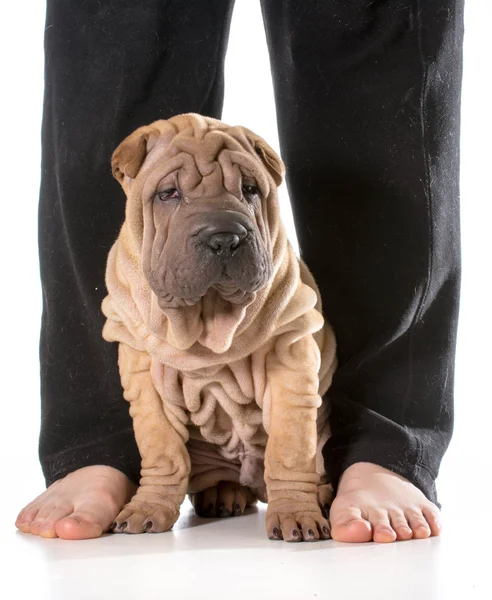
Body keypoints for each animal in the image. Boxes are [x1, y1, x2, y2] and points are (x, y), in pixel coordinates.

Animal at [101, 112, 338, 544]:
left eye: (249, 190)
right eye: (169, 194)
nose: (225, 238)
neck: (208, 319)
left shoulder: (290, 357)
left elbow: (290, 449)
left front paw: (296, 514)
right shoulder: (143, 374)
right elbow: (162, 450)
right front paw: (148, 508)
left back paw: (322, 494)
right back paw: (223, 493)